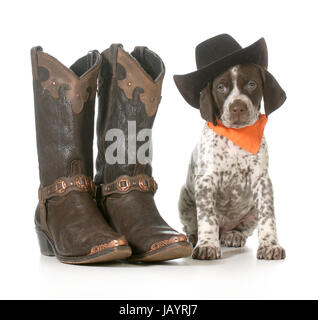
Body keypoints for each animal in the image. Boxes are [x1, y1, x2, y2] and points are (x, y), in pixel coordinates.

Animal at [179, 63, 286, 260]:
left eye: (251, 84)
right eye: (221, 88)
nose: (237, 108)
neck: (237, 136)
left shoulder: (262, 181)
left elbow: (267, 215)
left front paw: (270, 245)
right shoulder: (205, 181)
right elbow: (207, 217)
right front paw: (207, 244)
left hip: (251, 212)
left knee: (242, 228)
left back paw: (234, 235)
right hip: (184, 198)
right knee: (192, 225)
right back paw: (194, 237)